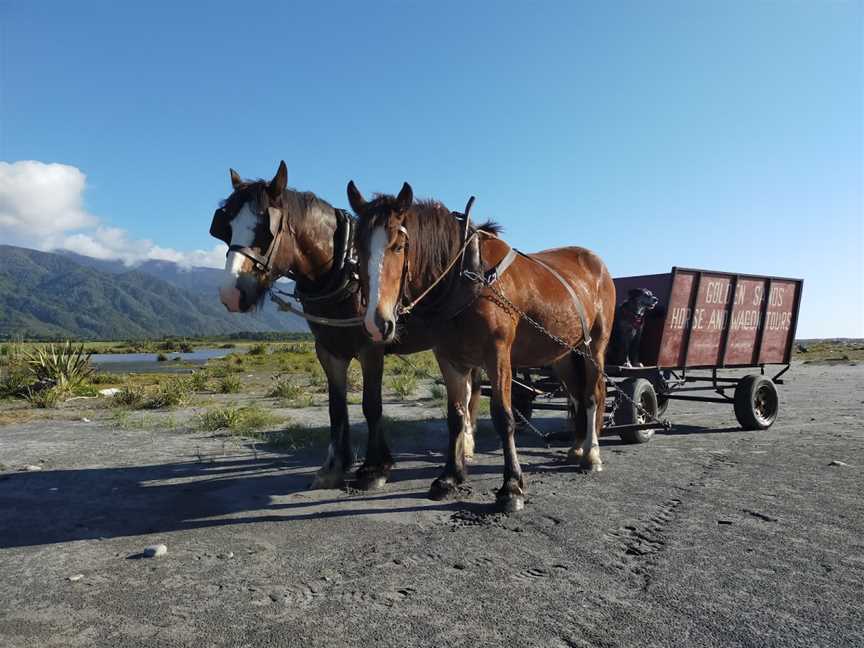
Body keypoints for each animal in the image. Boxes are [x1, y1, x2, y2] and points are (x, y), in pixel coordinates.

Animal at [208, 163, 480, 492]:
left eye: (265, 229)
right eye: (226, 228)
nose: (229, 294)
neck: (338, 272)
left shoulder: (371, 347)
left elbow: (371, 405)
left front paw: (375, 467)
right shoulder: (328, 350)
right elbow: (336, 408)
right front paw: (335, 466)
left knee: (471, 389)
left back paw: (466, 443)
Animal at [344, 181, 616, 512]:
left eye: (398, 245)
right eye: (358, 247)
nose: (376, 323)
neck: (465, 276)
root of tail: (596, 263)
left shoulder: (497, 356)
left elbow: (504, 417)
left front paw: (511, 487)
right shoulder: (449, 358)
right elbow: (456, 416)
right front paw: (449, 477)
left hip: (594, 346)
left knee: (591, 396)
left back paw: (591, 454)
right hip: (564, 352)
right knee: (576, 396)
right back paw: (577, 448)